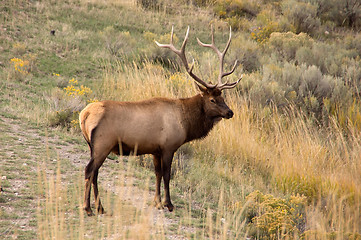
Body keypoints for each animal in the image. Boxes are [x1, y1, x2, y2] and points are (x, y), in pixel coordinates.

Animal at [79, 26, 242, 216]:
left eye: (223, 97)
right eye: (212, 100)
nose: (230, 112)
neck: (186, 123)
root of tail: (84, 114)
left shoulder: (155, 150)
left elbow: (156, 174)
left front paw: (156, 202)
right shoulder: (168, 146)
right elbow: (167, 175)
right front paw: (168, 204)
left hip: (93, 146)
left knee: (95, 173)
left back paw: (100, 207)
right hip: (103, 144)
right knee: (89, 171)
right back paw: (88, 208)